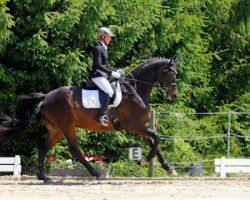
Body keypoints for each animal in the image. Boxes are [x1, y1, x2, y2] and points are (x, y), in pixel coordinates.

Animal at [0, 55, 180, 182]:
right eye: (170, 73)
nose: (174, 95)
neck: (135, 90)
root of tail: (47, 96)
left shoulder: (140, 126)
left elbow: (154, 142)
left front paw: (169, 168)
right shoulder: (134, 124)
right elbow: (157, 137)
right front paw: (145, 160)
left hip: (57, 129)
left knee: (43, 148)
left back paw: (43, 177)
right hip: (67, 126)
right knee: (75, 150)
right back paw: (96, 173)